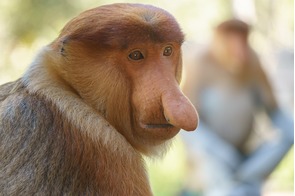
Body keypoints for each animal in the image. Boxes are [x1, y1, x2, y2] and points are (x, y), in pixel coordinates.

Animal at [182, 18, 294, 196]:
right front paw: (227, 157)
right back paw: (227, 186)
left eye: (242, 34)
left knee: (283, 140)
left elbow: (273, 110)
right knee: (202, 149)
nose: (240, 47)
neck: (226, 63)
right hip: (195, 173)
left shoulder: (255, 61)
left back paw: (248, 180)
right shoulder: (197, 65)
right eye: (231, 34)